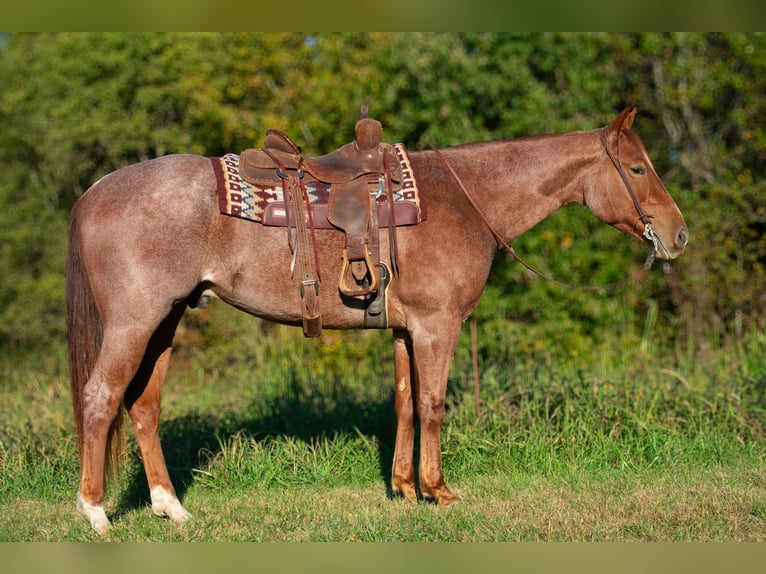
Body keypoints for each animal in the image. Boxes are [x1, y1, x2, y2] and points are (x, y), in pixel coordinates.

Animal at [66, 106, 688, 532]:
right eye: (638, 167)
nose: (678, 234)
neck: (464, 199)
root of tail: (95, 190)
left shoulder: (405, 331)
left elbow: (405, 404)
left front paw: (405, 489)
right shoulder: (438, 326)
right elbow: (433, 405)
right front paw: (440, 491)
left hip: (166, 323)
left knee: (143, 407)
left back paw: (171, 508)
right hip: (135, 322)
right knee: (101, 398)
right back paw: (95, 513)